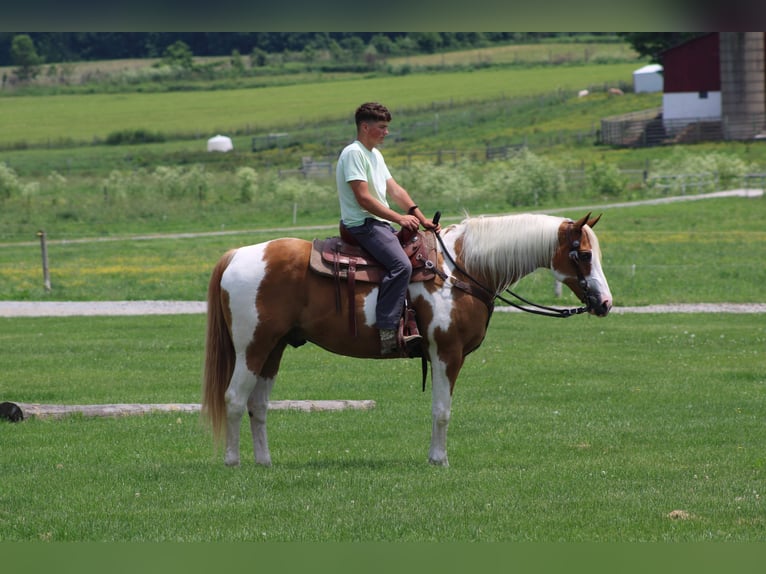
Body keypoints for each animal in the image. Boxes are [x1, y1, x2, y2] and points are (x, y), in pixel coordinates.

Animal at [202, 212, 612, 467]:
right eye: (584, 254)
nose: (605, 303)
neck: (460, 269)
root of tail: (236, 255)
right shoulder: (447, 353)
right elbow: (442, 410)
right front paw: (439, 459)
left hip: (274, 349)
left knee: (258, 405)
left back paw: (264, 462)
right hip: (252, 347)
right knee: (234, 399)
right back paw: (233, 461)